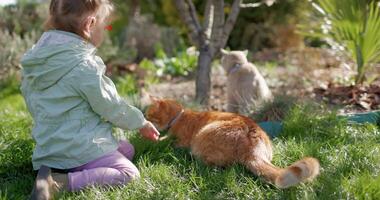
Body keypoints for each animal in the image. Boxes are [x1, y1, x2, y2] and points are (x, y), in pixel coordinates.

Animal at [146, 98, 320, 189]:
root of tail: (252, 145)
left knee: (213, 164)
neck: (180, 116)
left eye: (149, 115)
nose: (145, 120)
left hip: (202, 138)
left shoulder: (179, 141)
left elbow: (165, 141)